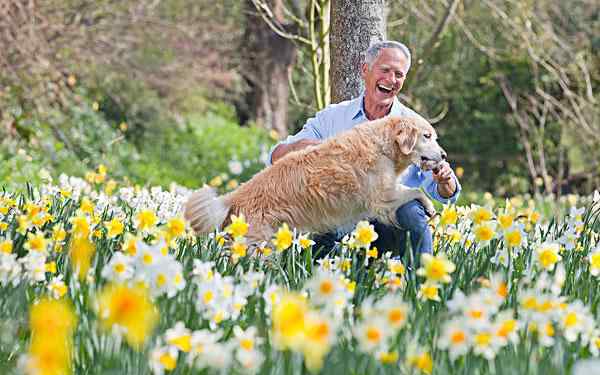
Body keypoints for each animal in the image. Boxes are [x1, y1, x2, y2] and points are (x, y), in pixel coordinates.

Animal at [185, 115, 448, 244]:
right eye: (427, 136)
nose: (444, 156)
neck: (383, 145)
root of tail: (232, 197)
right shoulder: (382, 198)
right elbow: (416, 192)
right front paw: (429, 206)